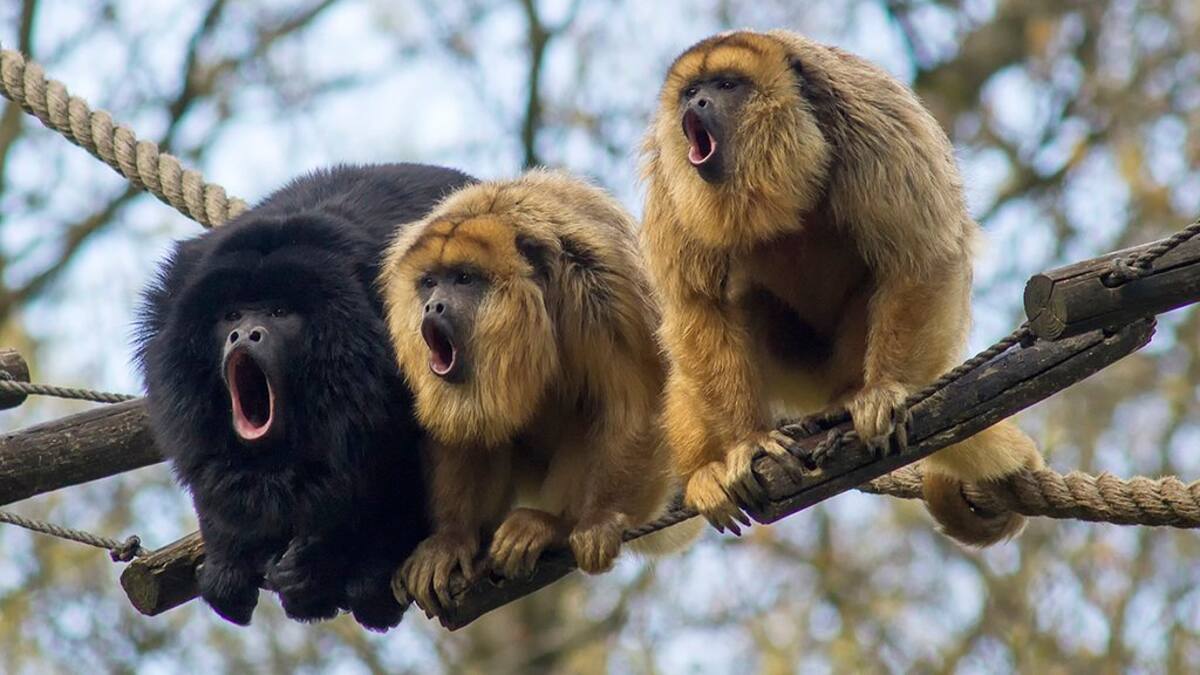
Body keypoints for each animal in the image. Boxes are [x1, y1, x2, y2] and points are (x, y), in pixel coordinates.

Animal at [135, 163, 475, 630]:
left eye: (279, 312)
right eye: (231, 316)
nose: (245, 334)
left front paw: (323, 565)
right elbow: (205, 466)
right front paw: (228, 563)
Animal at [380, 169, 693, 616]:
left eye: (464, 278)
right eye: (429, 283)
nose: (433, 306)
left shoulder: (601, 286)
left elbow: (632, 405)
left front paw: (597, 519)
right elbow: (459, 433)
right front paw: (451, 539)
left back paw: (550, 526)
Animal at [639, 30, 1045, 547]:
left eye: (728, 85)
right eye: (692, 91)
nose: (698, 102)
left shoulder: (874, 124)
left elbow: (918, 256)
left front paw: (883, 392)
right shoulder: (669, 177)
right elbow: (698, 306)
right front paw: (748, 442)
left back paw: (851, 399)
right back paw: (704, 474)